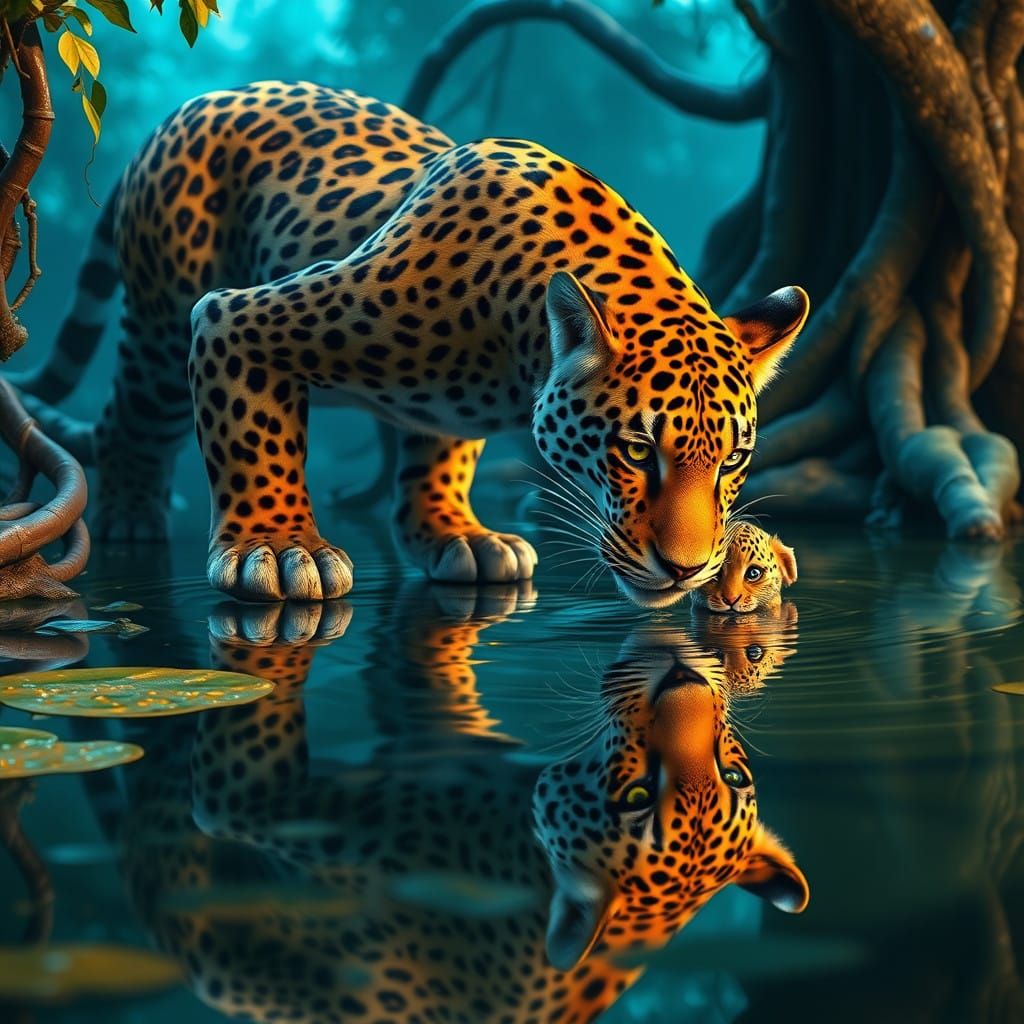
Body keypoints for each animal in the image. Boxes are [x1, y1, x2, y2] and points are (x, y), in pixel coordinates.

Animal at [14, 80, 808, 605]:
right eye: (638, 451)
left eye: (733, 461)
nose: (688, 570)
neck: (516, 348)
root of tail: (192, 106)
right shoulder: (236, 319)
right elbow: (255, 440)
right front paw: (277, 549)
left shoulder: (446, 411)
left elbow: (438, 463)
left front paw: (458, 535)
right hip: (162, 320)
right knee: (131, 418)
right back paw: (131, 516)